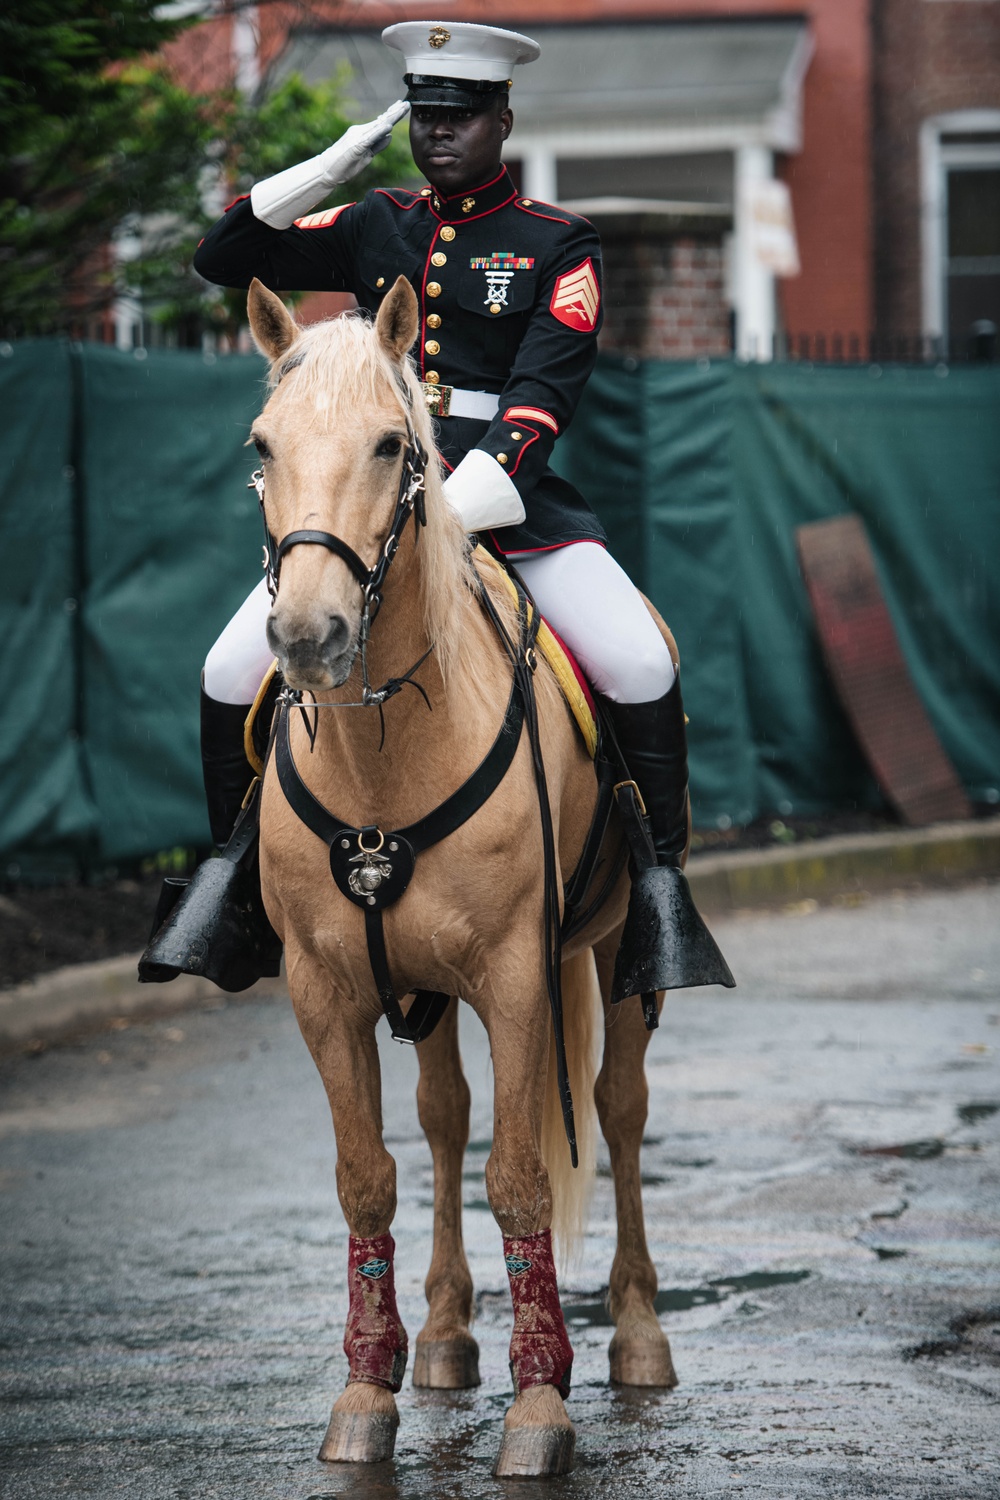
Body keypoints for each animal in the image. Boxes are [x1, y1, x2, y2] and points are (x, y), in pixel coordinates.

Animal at [247, 279, 689, 1476]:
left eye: (393, 445)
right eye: (261, 447)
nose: (308, 634)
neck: (385, 748)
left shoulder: (517, 978)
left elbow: (522, 1174)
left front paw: (541, 1408)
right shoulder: (324, 991)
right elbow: (369, 1175)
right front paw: (366, 1389)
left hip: (616, 954)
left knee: (619, 1109)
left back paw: (638, 1332)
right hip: (422, 982)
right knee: (443, 1119)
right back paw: (445, 1333)